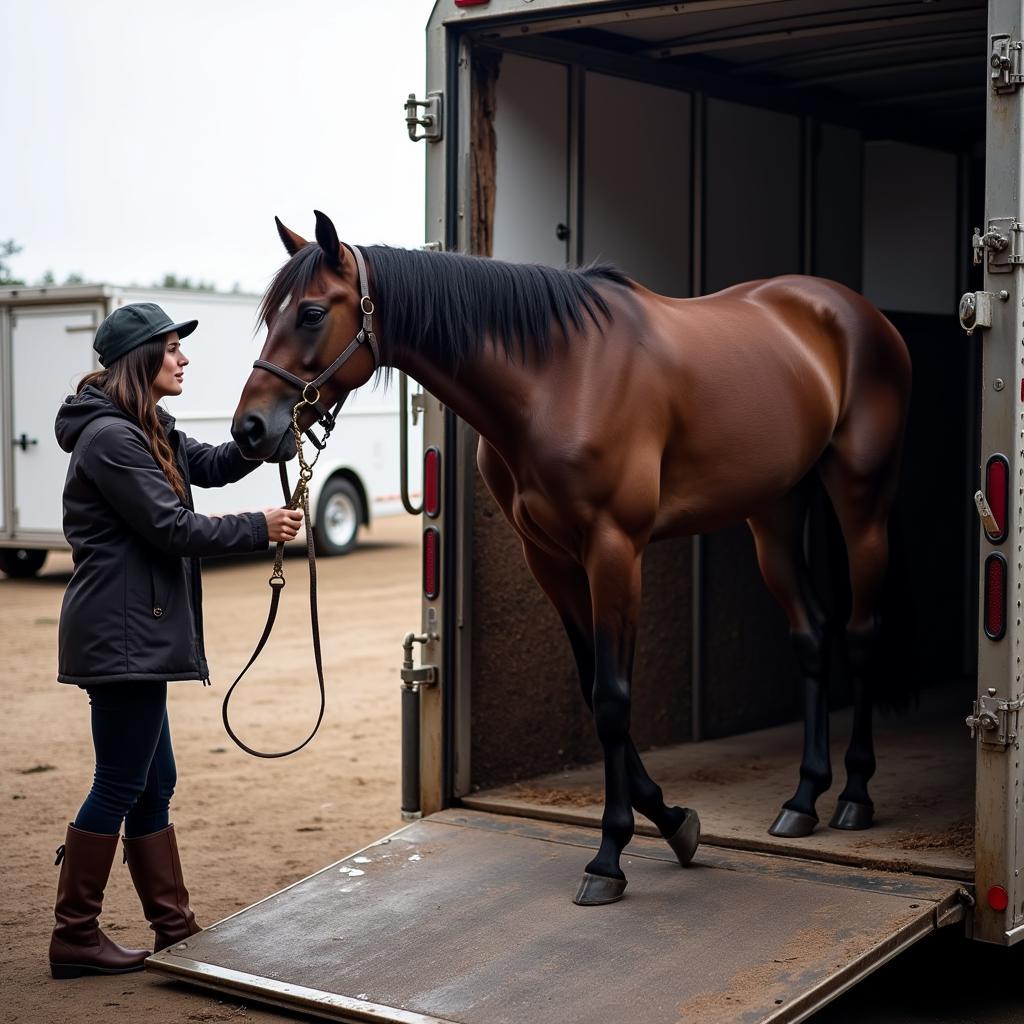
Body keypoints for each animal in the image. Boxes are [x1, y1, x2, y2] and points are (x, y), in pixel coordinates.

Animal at [232, 209, 913, 905]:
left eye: (312, 313)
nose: (249, 429)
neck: (559, 377)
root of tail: (852, 311)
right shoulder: (550, 560)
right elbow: (592, 690)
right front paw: (673, 821)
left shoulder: (615, 550)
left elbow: (613, 696)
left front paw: (610, 856)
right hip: (772, 513)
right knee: (813, 634)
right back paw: (803, 799)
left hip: (861, 500)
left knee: (861, 632)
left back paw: (855, 795)